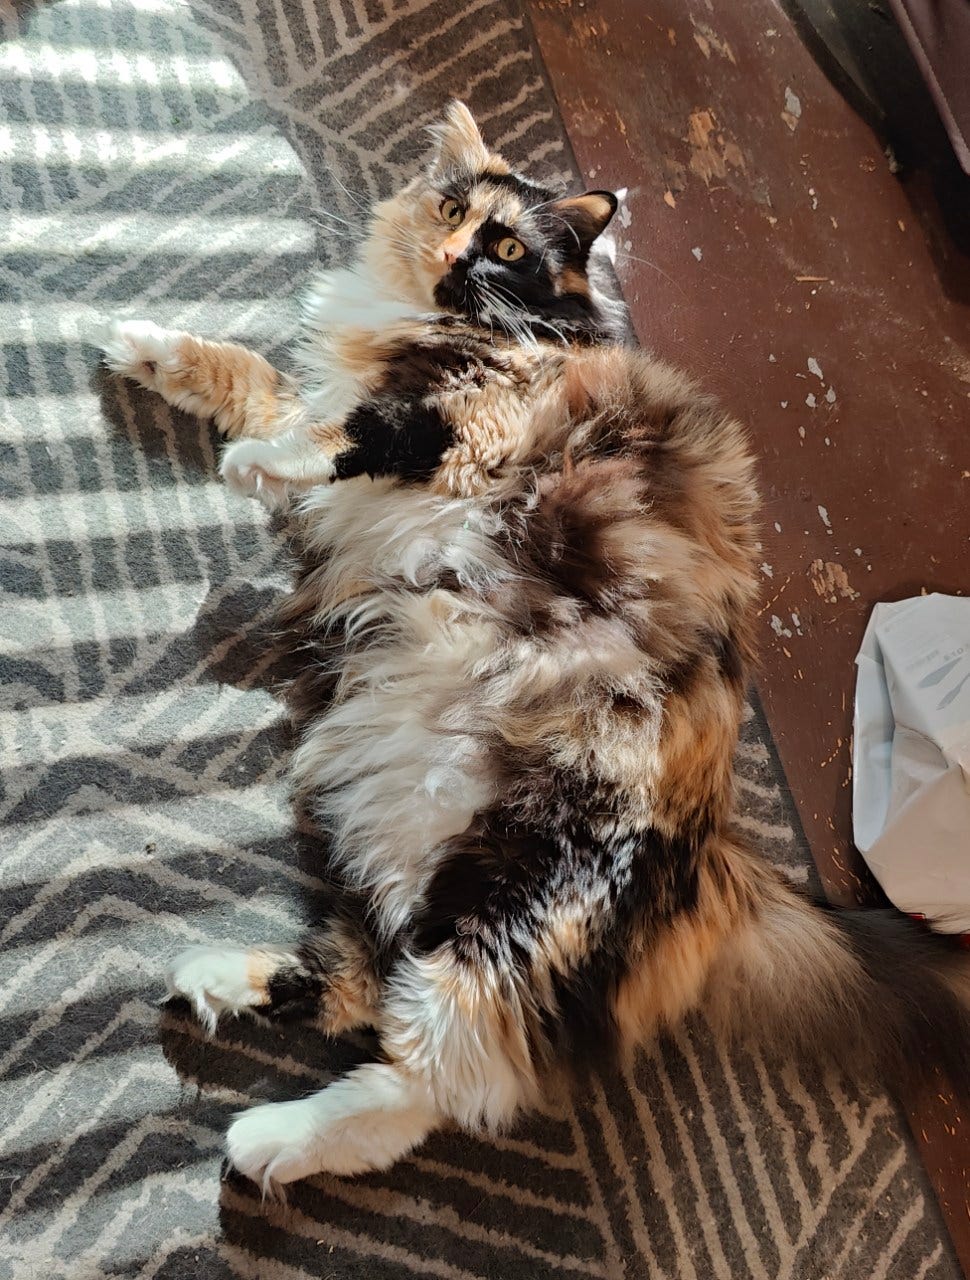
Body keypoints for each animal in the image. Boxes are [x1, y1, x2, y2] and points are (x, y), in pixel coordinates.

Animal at [99, 102, 970, 1191]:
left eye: (509, 249)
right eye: (451, 209)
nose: (457, 257)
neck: (443, 322)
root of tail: (719, 859)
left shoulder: (477, 414)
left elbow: (348, 433)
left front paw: (250, 462)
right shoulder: (348, 398)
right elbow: (252, 375)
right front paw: (143, 346)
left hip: (521, 905)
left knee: (436, 1082)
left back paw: (267, 1141)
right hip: (417, 857)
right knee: (367, 988)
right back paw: (216, 980)